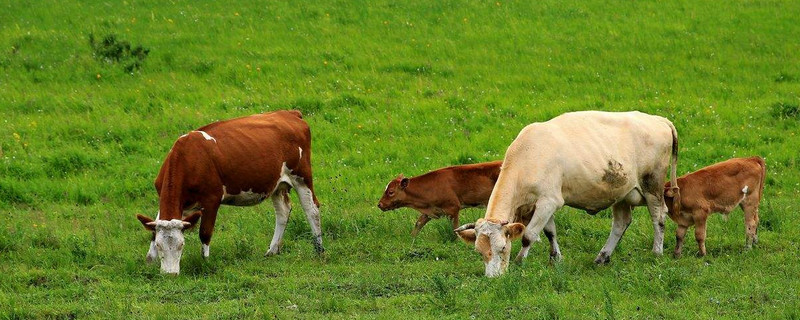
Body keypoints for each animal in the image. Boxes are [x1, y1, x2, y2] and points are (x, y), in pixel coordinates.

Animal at [136, 110, 324, 276]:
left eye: (181, 245)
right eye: (159, 245)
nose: (171, 274)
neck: (187, 158)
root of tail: (290, 113)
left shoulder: (211, 200)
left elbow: (205, 233)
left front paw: (206, 262)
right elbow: (154, 230)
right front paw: (149, 262)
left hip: (302, 176)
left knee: (312, 209)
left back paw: (319, 249)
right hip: (277, 185)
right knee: (283, 211)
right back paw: (272, 250)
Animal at [454, 111, 680, 276]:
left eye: (502, 248)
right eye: (479, 251)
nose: (493, 278)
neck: (529, 155)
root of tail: (658, 119)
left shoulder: (549, 201)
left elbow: (529, 235)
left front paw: (519, 262)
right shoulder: (543, 203)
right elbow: (550, 232)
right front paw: (556, 258)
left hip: (652, 185)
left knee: (659, 217)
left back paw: (657, 252)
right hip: (622, 193)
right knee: (621, 223)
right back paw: (602, 257)